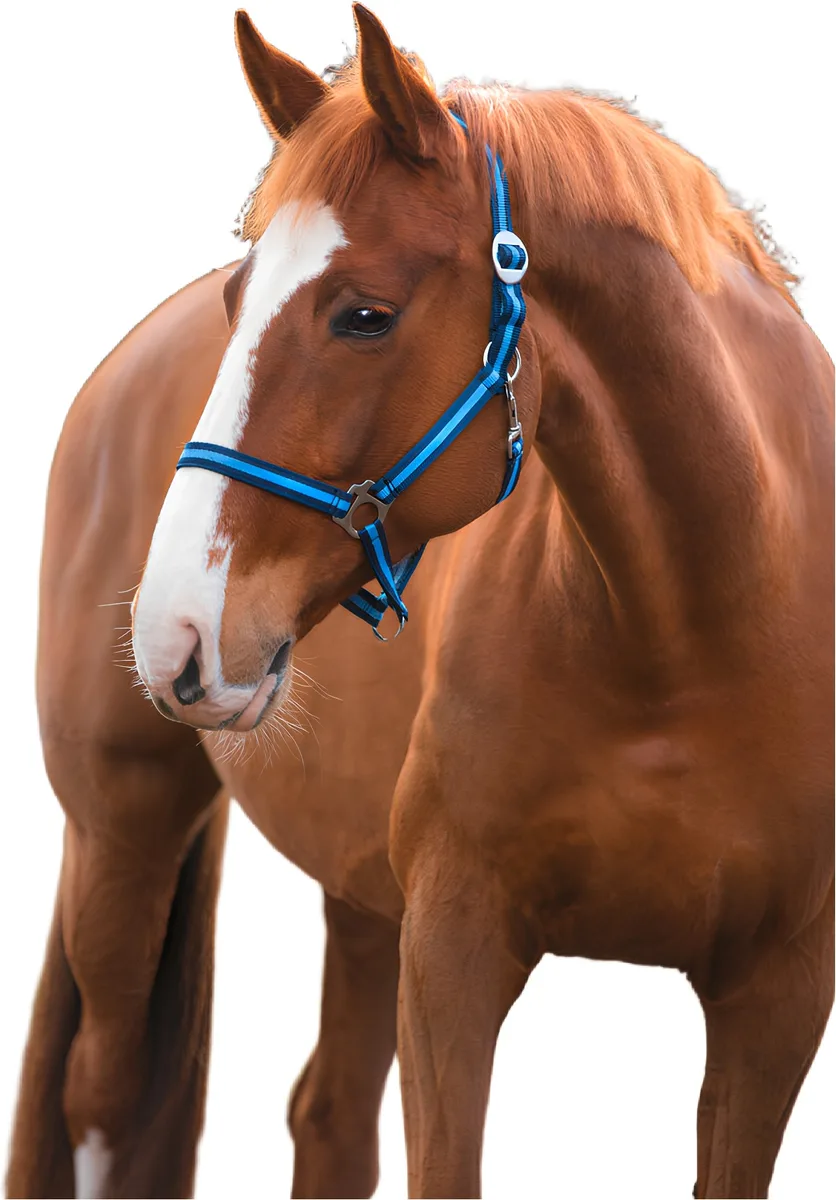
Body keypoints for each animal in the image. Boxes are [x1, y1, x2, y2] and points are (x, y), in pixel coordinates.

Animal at [7, 5, 833, 1198]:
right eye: (238, 300)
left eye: (364, 315)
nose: (174, 631)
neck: (689, 636)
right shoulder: (452, 954)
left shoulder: (778, 996)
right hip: (124, 828)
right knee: (100, 1104)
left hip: (355, 896)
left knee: (326, 1117)